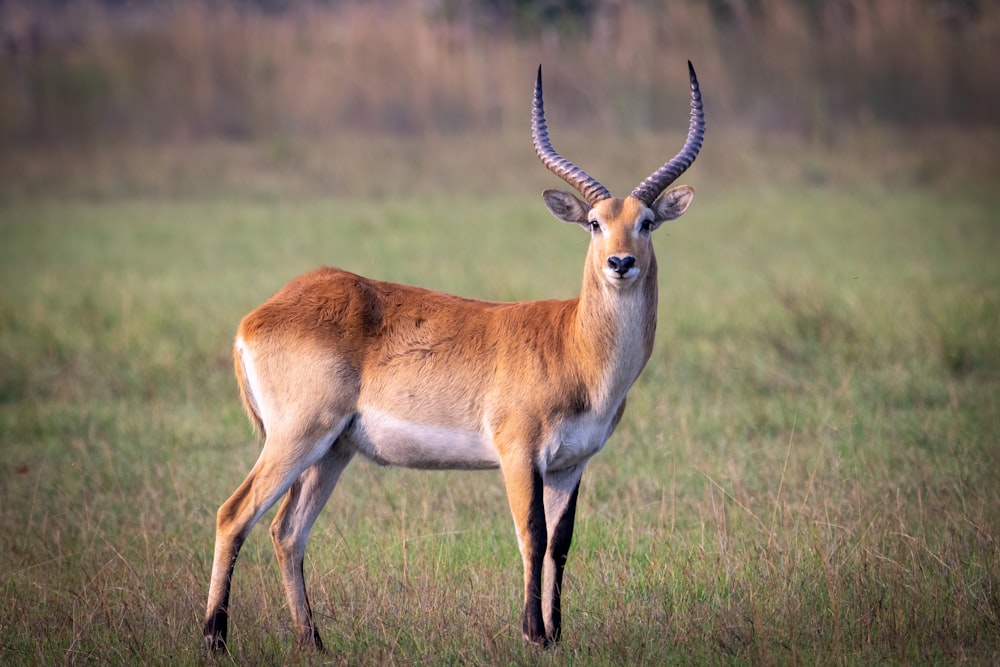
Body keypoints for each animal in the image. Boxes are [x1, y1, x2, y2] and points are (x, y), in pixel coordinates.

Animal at [203, 62, 704, 652]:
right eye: (594, 223)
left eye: (646, 221)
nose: (620, 262)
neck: (574, 346)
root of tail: (259, 314)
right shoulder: (519, 453)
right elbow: (531, 535)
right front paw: (533, 633)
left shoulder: (571, 465)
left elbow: (561, 543)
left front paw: (557, 636)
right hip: (297, 437)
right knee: (234, 514)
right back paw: (214, 638)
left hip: (332, 450)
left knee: (287, 531)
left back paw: (313, 642)